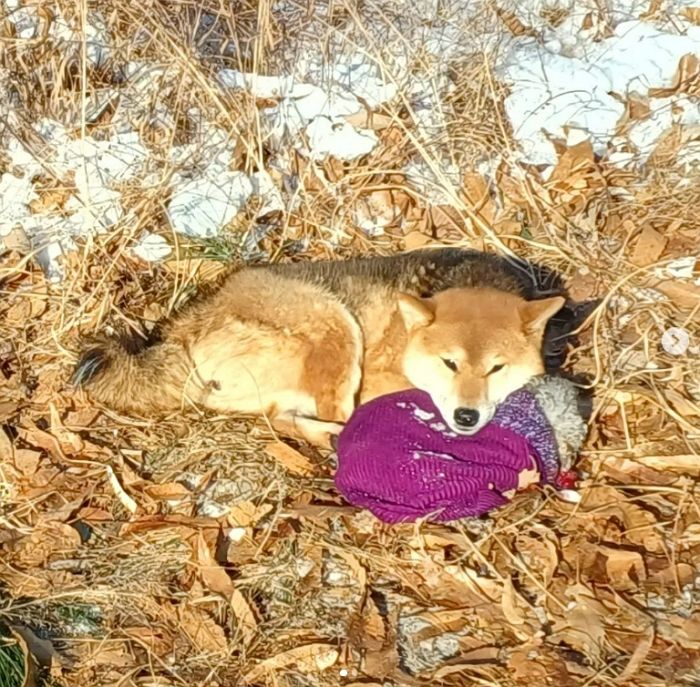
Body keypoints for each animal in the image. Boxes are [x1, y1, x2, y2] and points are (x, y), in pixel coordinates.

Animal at [74, 247, 568, 446]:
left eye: (496, 369)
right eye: (449, 364)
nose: (466, 417)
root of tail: (183, 325)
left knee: (281, 417)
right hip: (337, 324)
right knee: (333, 417)